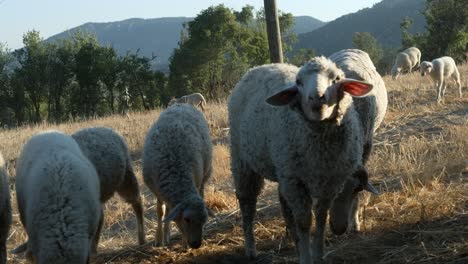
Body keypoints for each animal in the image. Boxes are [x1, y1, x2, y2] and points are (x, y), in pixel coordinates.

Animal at [143, 103, 212, 250]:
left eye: (204, 219)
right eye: (187, 219)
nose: (196, 244)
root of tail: (182, 103)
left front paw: (184, 243)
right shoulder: (157, 190)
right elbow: (160, 212)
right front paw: (159, 239)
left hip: (204, 175)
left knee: (201, 192)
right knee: (168, 210)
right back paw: (166, 235)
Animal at [229, 58, 380, 264]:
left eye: (336, 79)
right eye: (299, 82)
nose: (316, 98)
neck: (321, 150)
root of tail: (259, 67)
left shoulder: (329, 182)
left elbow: (321, 217)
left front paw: (318, 254)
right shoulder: (296, 182)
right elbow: (304, 222)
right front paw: (306, 257)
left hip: (282, 170)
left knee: (284, 205)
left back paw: (294, 241)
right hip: (243, 162)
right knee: (247, 205)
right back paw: (251, 248)